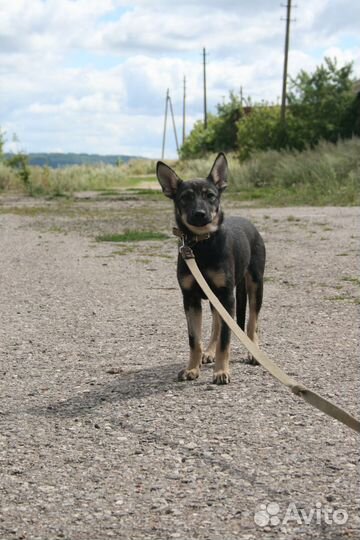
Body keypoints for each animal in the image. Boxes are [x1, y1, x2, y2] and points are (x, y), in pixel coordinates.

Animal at [156, 152, 266, 384]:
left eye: (211, 196)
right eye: (185, 197)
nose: (199, 214)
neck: (202, 244)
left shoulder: (226, 296)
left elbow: (226, 338)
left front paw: (221, 371)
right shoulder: (190, 298)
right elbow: (194, 339)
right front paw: (192, 368)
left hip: (255, 284)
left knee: (252, 322)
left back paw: (253, 351)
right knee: (216, 323)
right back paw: (209, 351)